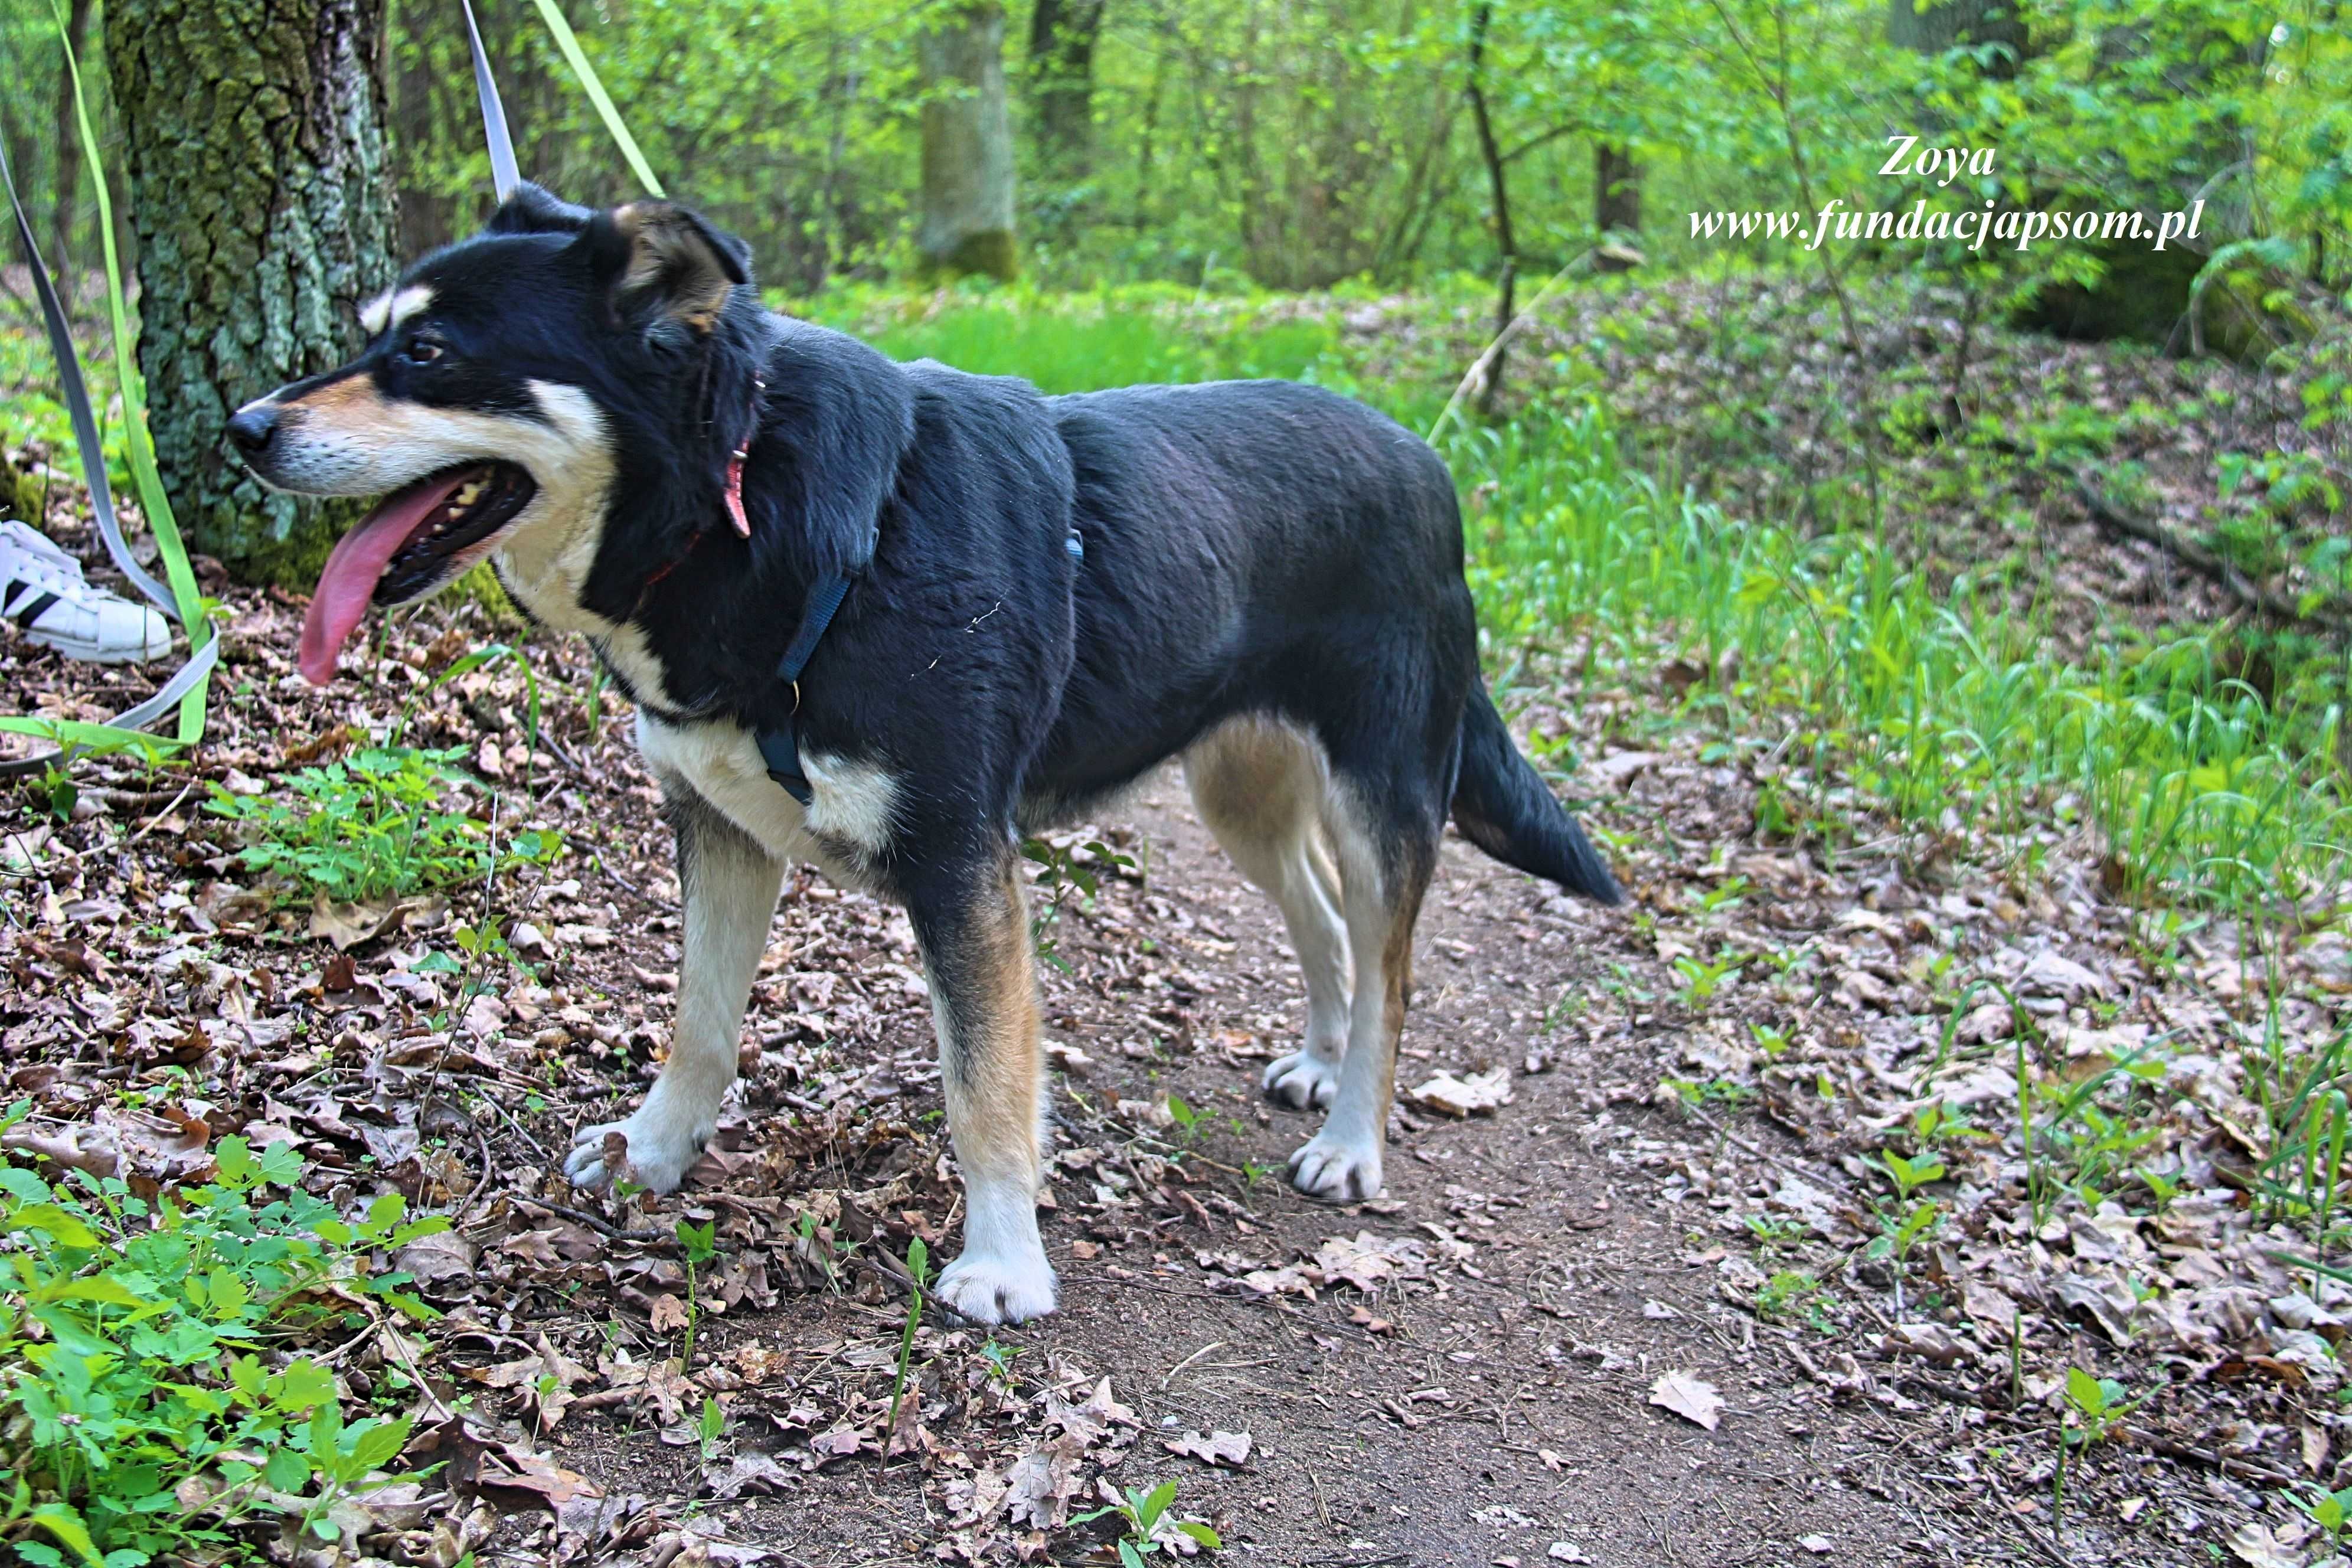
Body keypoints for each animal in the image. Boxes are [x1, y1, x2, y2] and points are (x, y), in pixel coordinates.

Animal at [229, 190, 1627, 1335]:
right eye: (370, 333)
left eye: (429, 355)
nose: (240, 425)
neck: (747, 505)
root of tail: (1428, 461)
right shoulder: (714, 826)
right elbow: (701, 1026)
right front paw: (654, 1154)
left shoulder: (962, 864)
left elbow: (985, 1088)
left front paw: (1004, 1263)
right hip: (1241, 790)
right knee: (1324, 922)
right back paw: (1321, 1063)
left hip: (1380, 790)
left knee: (1390, 969)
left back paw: (1353, 1135)